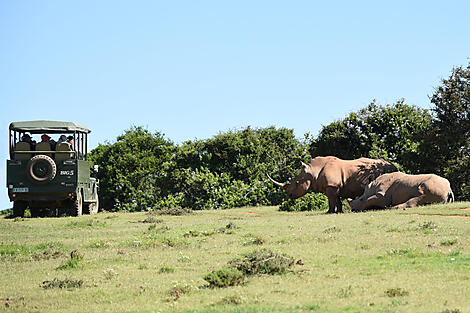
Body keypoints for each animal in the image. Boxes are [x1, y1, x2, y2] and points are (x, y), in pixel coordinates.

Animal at [268, 155, 396, 213]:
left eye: (297, 182)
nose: (290, 196)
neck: (313, 172)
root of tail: (393, 165)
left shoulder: (332, 186)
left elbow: (331, 200)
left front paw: (329, 212)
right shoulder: (333, 187)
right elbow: (337, 200)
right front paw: (338, 212)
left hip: (385, 170)